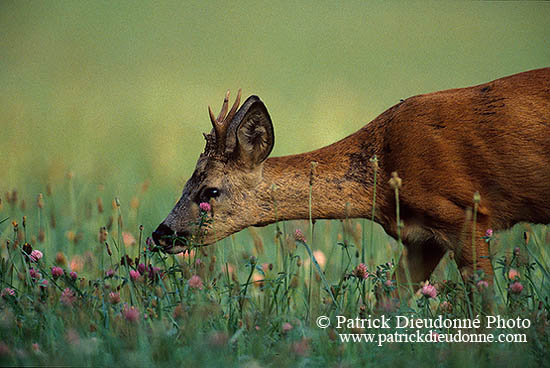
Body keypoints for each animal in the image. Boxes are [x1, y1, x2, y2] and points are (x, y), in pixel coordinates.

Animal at [154, 67, 550, 290]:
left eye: (210, 190)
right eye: (187, 183)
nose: (160, 233)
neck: (383, 171)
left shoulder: (466, 215)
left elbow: (485, 301)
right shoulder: (422, 238)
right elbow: (388, 300)